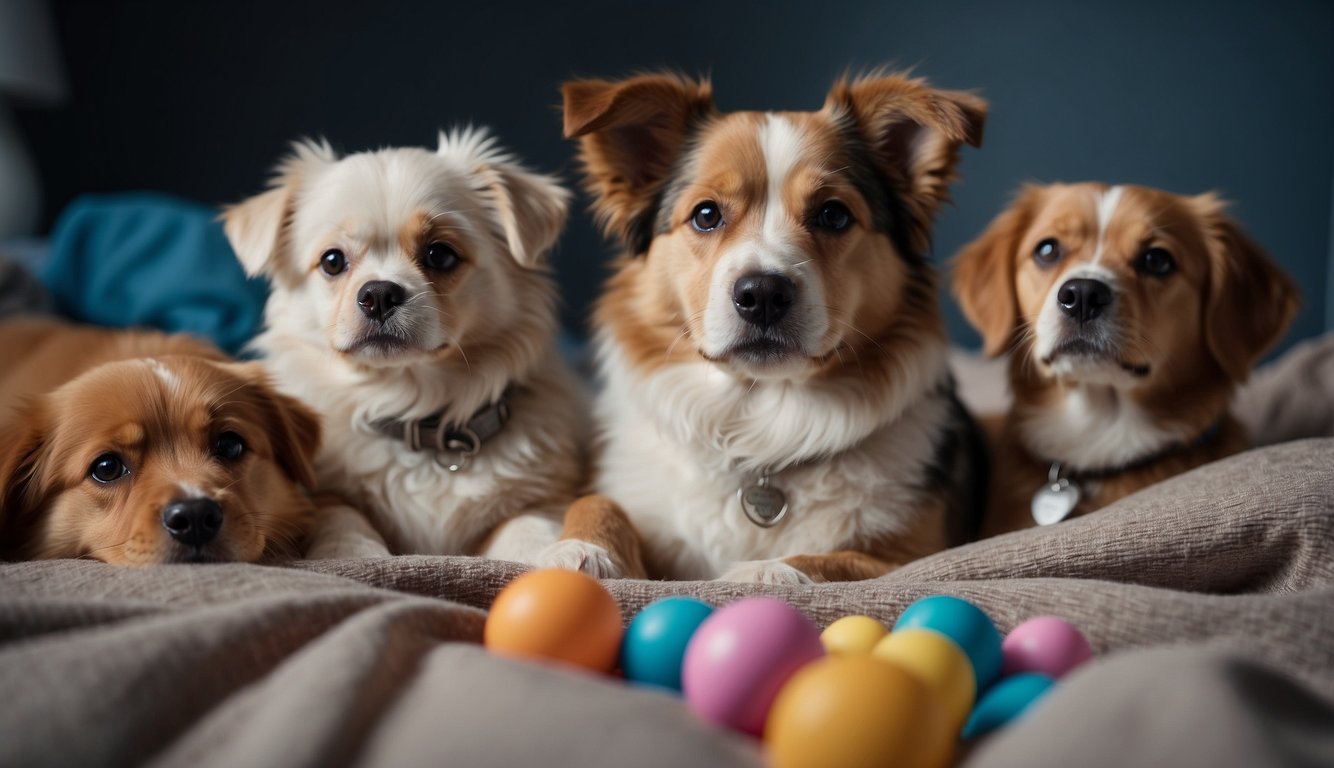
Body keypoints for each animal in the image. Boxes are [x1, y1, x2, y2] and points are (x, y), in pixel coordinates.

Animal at [224, 129, 634, 570]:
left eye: (439, 254)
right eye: (332, 261)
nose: (379, 293)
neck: (413, 403)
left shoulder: (544, 497)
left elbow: (526, 524)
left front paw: (564, 552)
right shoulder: (323, 494)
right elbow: (342, 514)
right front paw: (349, 551)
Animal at [557, 72, 987, 581]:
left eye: (833, 214)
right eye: (706, 214)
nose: (762, 295)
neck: (761, 436)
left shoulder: (913, 557)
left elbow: (825, 559)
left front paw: (756, 573)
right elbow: (595, 502)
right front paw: (580, 550)